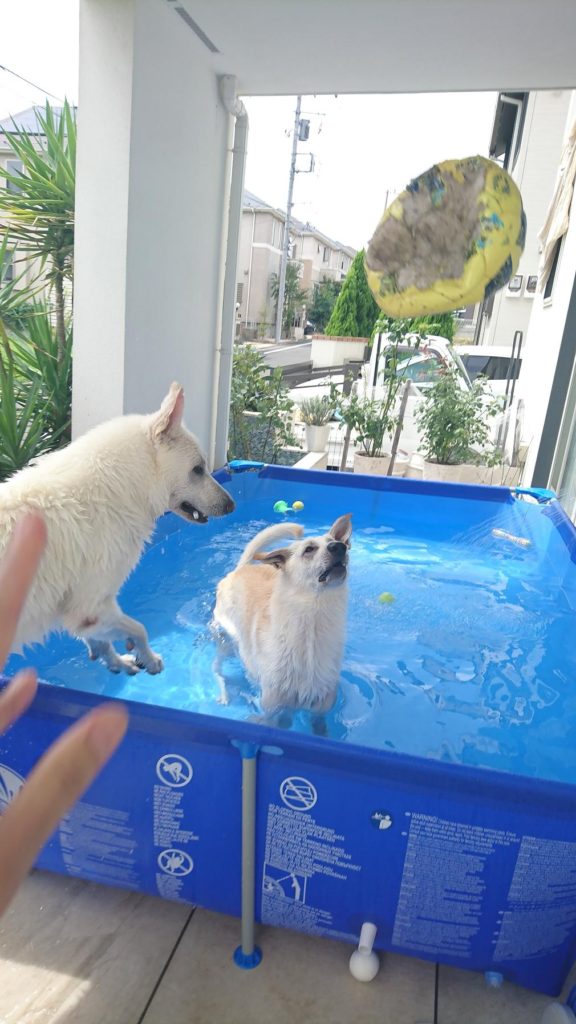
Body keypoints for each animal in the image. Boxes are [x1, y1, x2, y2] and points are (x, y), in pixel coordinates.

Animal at [0, 382, 234, 674]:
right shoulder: (92, 607)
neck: (121, 485)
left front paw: (116, 661)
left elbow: (101, 640)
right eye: (198, 469)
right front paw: (149, 658)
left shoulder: (85, 614)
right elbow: (139, 627)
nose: (231, 505)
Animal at [212, 513, 352, 713]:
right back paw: (224, 692)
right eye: (309, 549)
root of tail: (242, 568)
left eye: (335, 542)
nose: (340, 546)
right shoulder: (272, 705)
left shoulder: (323, 700)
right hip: (224, 638)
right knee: (217, 668)